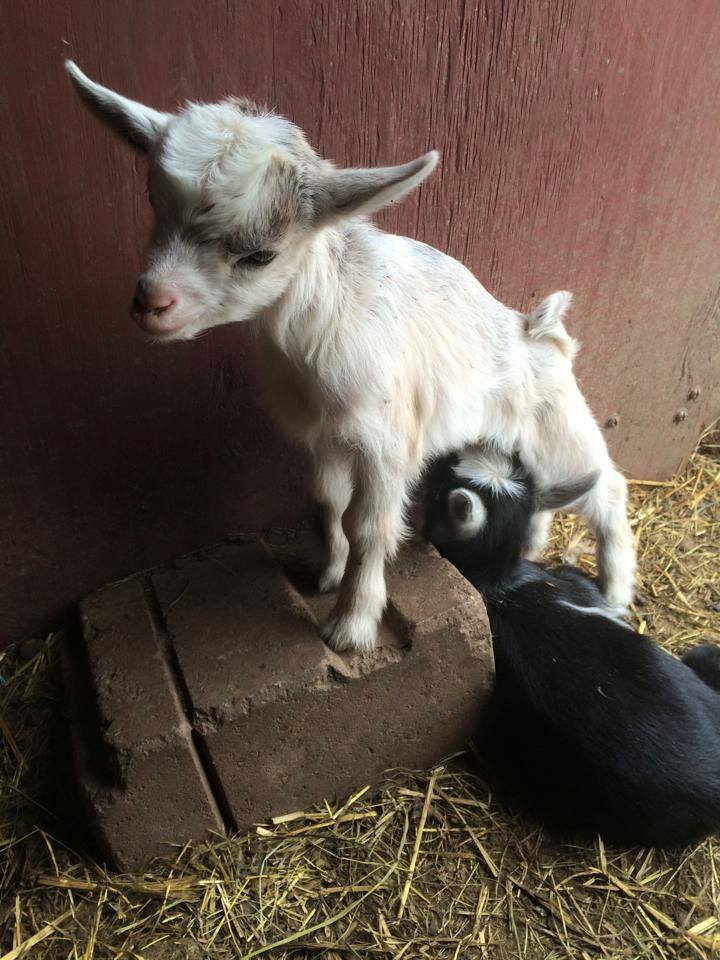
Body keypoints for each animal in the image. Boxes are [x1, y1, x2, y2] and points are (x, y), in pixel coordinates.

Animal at [65, 61, 636, 653]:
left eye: (260, 254)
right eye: (154, 205)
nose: (151, 303)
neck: (323, 322)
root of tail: (537, 330)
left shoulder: (386, 443)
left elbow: (370, 527)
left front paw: (352, 624)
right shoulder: (321, 435)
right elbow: (327, 505)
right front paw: (326, 575)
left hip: (557, 430)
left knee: (606, 487)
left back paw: (616, 590)